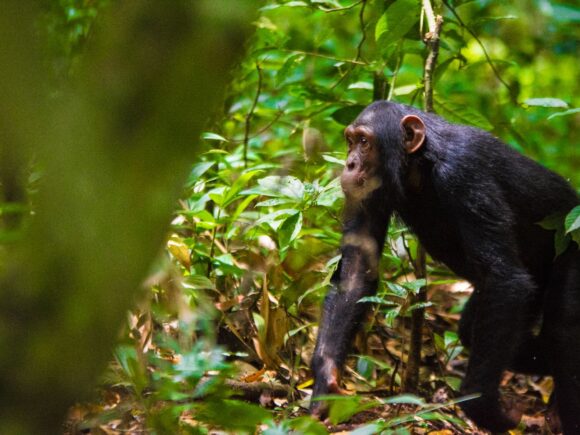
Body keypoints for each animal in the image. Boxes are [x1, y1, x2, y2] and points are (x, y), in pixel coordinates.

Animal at [312, 101, 580, 432]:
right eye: (350, 141)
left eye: (364, 142)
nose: (349, 164)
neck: (420, 164)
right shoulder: (370, 192)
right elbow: (356, 268)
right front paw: (326, 380)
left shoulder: (464, 174)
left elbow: (503, 277)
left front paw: (483, 406)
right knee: (478, 330)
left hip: (574, 242)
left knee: (562, 330)